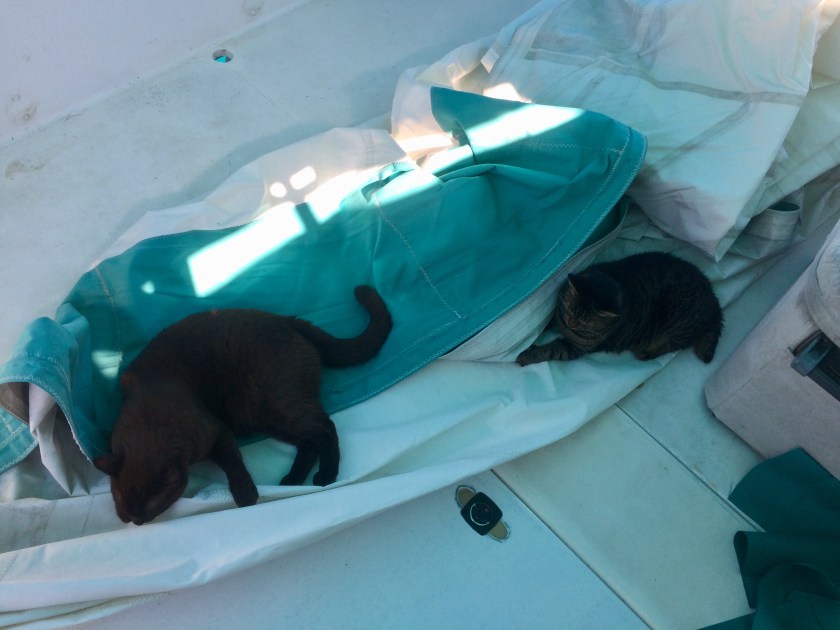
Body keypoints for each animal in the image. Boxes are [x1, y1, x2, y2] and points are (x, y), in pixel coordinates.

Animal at [94, 285, 392, 525]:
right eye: (119, 499)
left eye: (152, 504)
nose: (135, 521)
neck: (150, 412)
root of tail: (287, 320)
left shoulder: (217, 431)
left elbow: (233, 462)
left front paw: (246, 494)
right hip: (266, 416)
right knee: (309, 443)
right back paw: (292, 479)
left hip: (281, 404)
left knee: (326, 428)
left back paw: (325, 476)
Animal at [516, 252, 722, 366]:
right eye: (569, 310)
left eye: (585, 322)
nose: (570, 323)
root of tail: (714, 301)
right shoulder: (558, 314)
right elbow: (548, 322)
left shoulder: (575, 347)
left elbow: (550, 350)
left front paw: (527, 355)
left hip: (677, 321)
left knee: (672, 343)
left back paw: (647, 351)